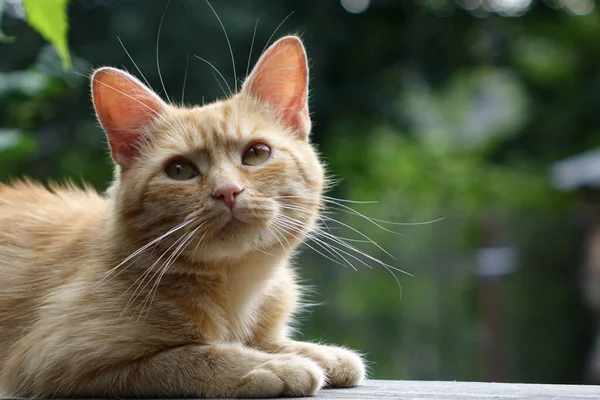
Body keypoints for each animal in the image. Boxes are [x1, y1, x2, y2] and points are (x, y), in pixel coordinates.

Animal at [0, 36, 366, 396]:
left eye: (257, 154)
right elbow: (191, 356)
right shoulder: (56, 362)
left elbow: (268, 341)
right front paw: (271, 366)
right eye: (179, 170)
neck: (236, 289)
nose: (227, 191)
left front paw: (317, 354)